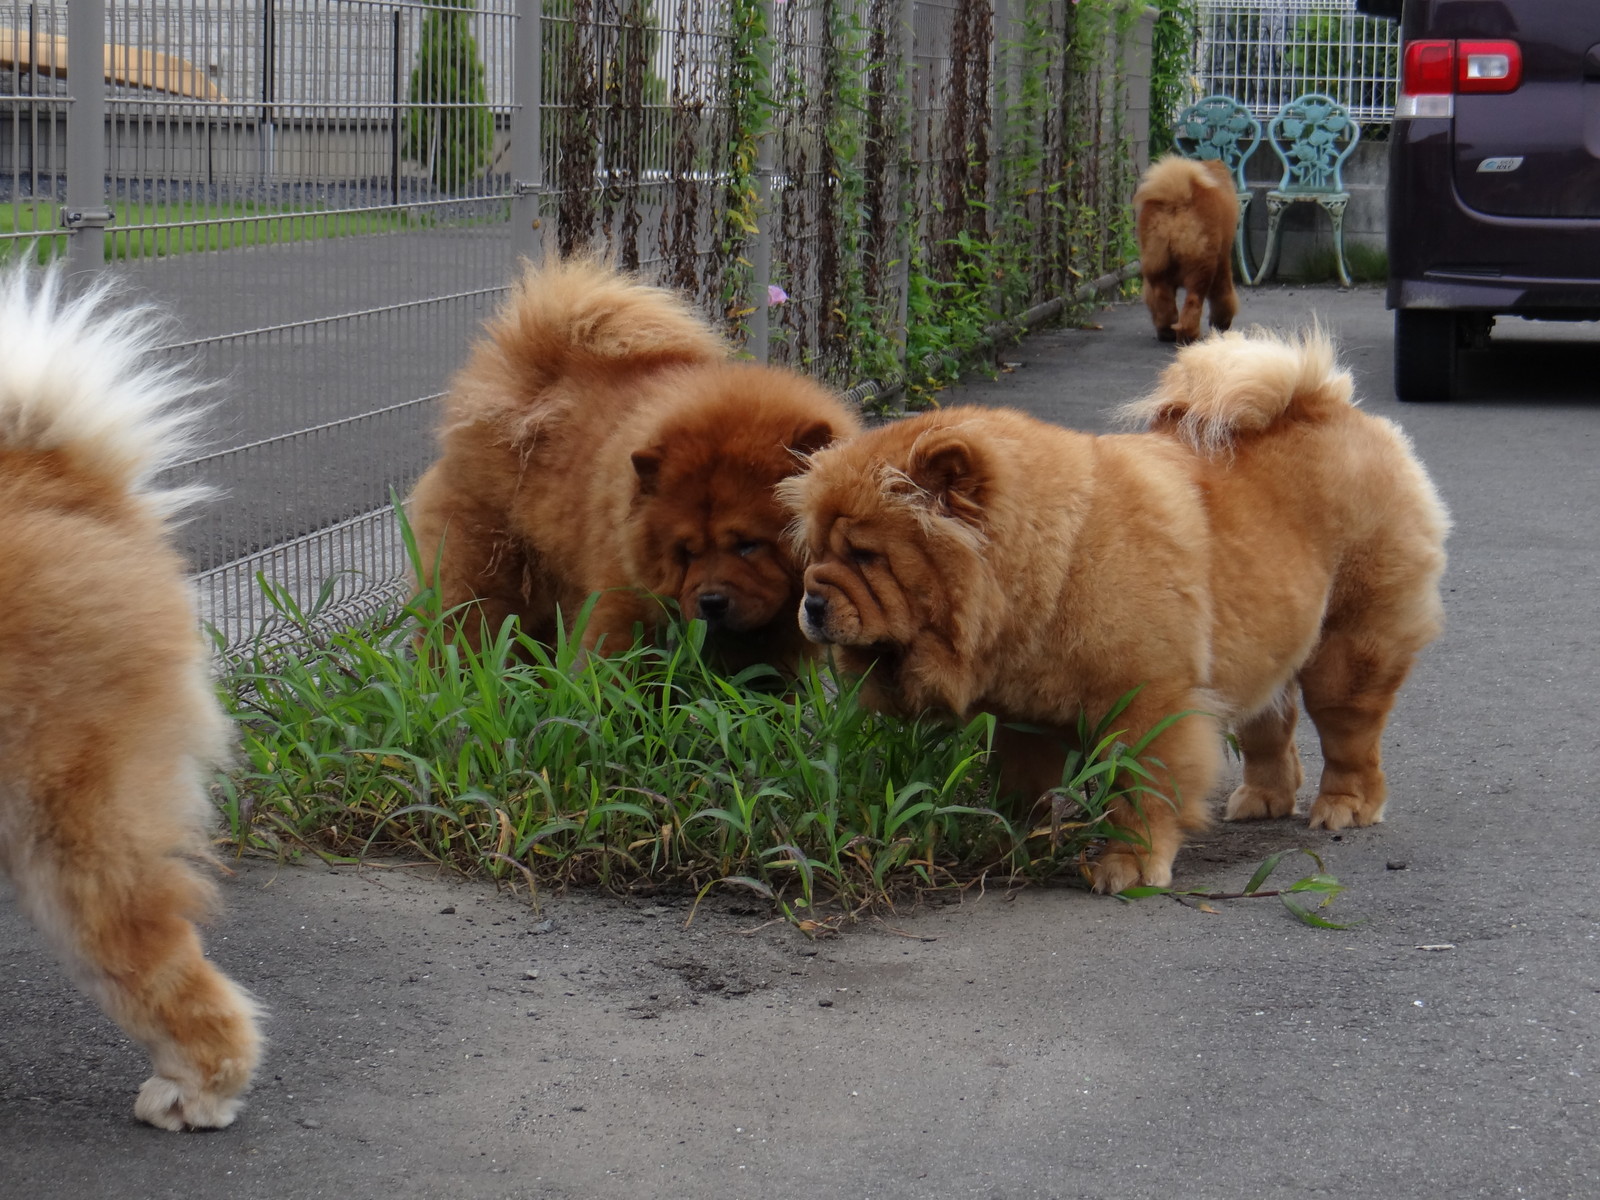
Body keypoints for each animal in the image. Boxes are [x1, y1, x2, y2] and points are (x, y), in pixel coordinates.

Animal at [409, 257, 860, 670]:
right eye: (686, 551)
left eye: (749, 545)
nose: (711, 601)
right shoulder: (621, 605)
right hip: (481, 575)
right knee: (462, 631)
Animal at [781, 328, 1450, 893]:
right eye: (816, 554)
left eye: (866, 556)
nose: (811, 601)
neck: (1057, 564)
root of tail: (1328, 402)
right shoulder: (1022, 715)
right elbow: (1020, 786)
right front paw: (1020, 846)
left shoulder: (1148, 703)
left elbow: (1138, 790)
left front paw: (1127, 865)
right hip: (1269, 639)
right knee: (1271, 724)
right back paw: (1263, 800)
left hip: (1351, 643)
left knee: (1349, 730)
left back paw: (1345, 806)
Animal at [1135, 154, 1240, 345]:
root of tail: (1176, 200)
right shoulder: (1222, 261)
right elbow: (1223, 295)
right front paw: (1221, 323)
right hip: (1201, 265)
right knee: (1193, 301)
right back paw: (1189, 336)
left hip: (1155, 263)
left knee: (1162, 300)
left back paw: (1167, 332)